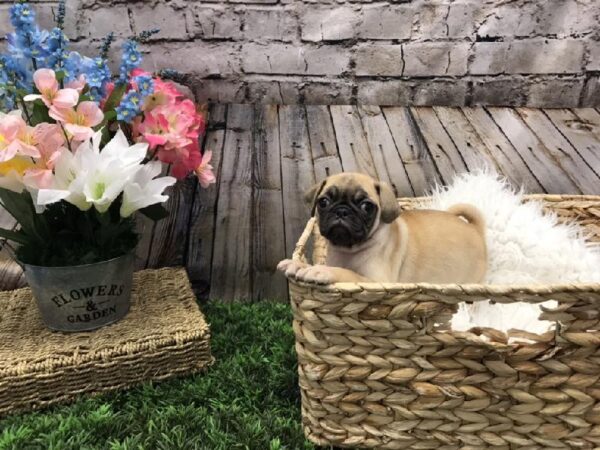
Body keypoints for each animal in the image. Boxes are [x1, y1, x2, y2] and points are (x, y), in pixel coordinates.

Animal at [276, 172, 488, 284]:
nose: (342, 211)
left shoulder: (376, 282)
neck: (349, 250)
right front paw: (299, 264)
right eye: (323, 202)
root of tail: (475, 229)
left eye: (366, 206)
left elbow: (348, 274)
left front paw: (322, 272)